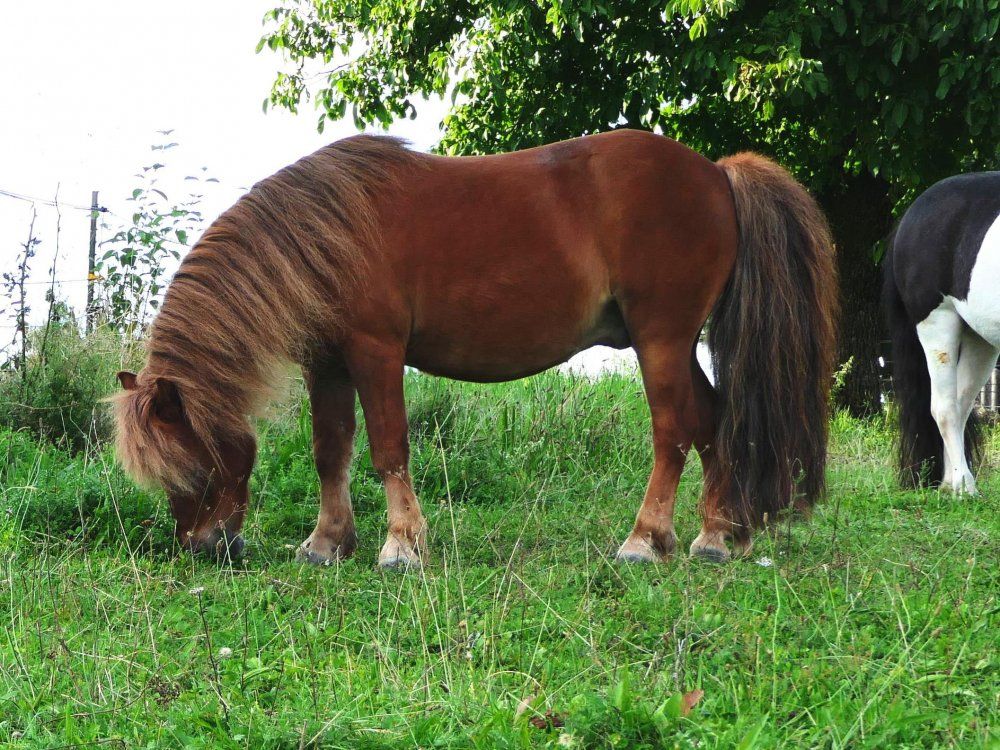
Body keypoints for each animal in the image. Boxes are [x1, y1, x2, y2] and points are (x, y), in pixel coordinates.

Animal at [113, 130, 838, 567]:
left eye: (190, 466)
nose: (203, 546)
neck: (325, 233)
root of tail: (716, 174)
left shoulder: (376, 353)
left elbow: (388, 449)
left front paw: (401, 547)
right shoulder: (328, 364)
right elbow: (330, 452)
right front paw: (326, 542)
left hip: (660, 340)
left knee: (674, 432)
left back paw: (643, 540)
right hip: (675, 344)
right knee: (713, 421)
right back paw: (715, 534)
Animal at [883, 172, 1000, 494]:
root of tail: (912, 212)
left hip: (979, 337)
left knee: (960, 406)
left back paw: (951, 483)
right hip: (937, 322)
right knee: (945, 408)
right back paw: (964, 486)